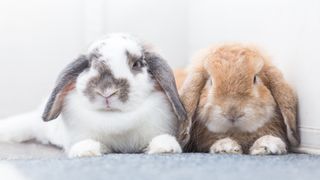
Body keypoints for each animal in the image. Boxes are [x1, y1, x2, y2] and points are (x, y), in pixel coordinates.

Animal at [0, 33, 188, 158]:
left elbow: (160, 138)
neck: (115, 118)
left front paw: (166, 148)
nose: (106, 91)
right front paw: (86, 151)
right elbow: (86, 142)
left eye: (136, 64)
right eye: (89, 64)